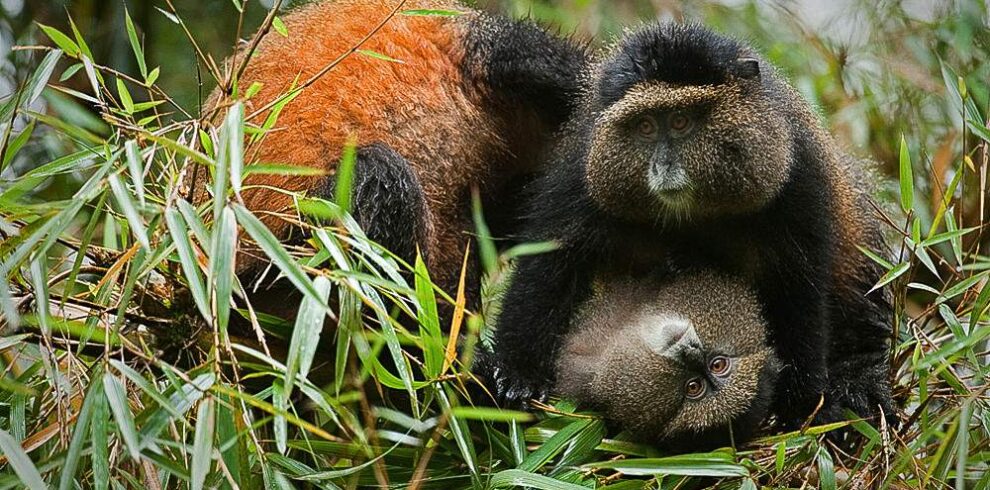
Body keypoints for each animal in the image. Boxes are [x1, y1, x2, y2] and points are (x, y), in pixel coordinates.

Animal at [479, 22, 894, 431]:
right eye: (645, 126)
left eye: (681, 121)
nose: (663, 165)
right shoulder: (581, 170)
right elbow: (550, 261)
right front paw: (517, 375)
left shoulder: (797, 174)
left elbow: (799, 286)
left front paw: (803, 405)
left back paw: (861, 379)